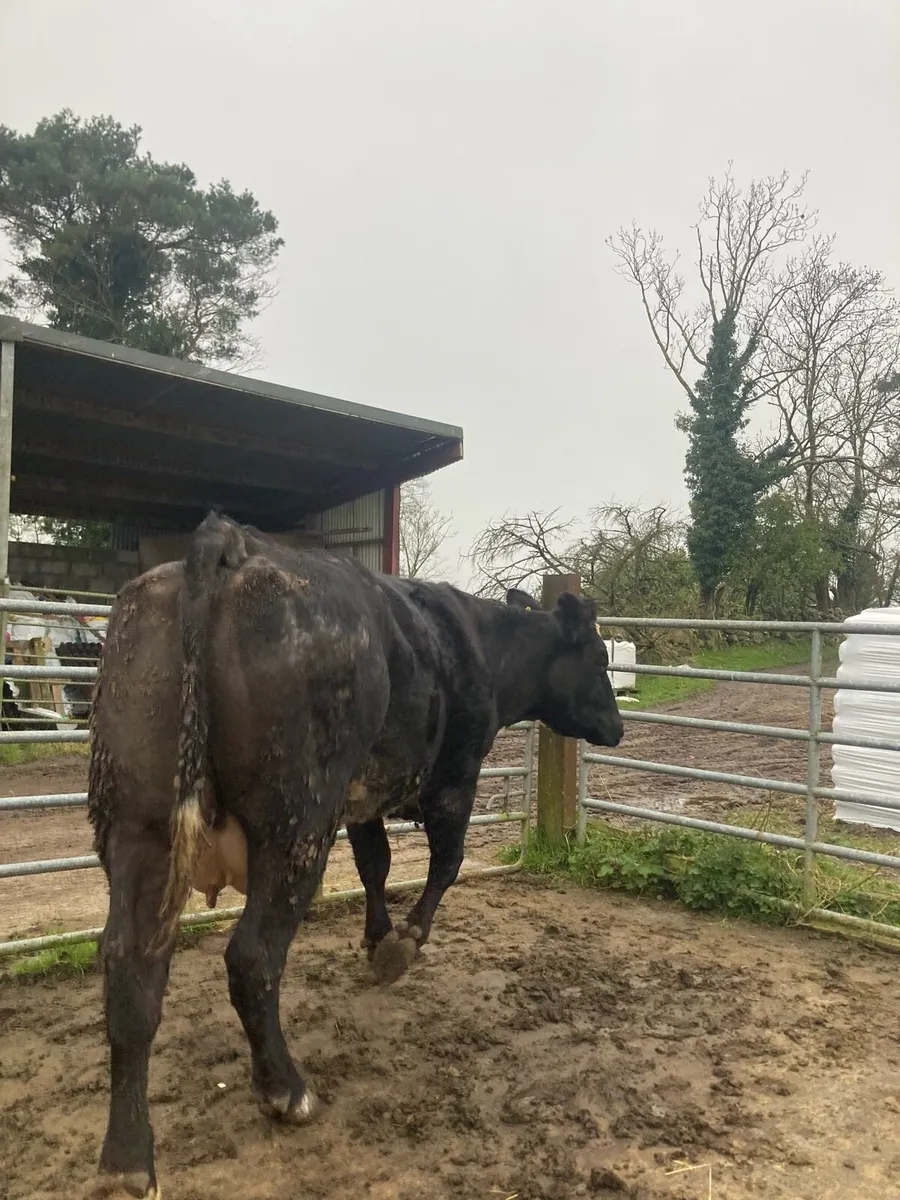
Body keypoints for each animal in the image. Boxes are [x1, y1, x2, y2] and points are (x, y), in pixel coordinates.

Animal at [87, 512, 623, 1198]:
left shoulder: (363, 801)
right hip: (296, 826)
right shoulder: (456, 780)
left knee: (131, 967)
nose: (618, 727)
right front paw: (401, 946)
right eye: (600, 657)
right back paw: (286, 1090)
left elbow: (376, 866)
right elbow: (445, 867)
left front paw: (375, 937)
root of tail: (226, 544)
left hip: (140, 827)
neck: (482, 644)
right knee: (252, 957)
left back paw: (127, 1156)